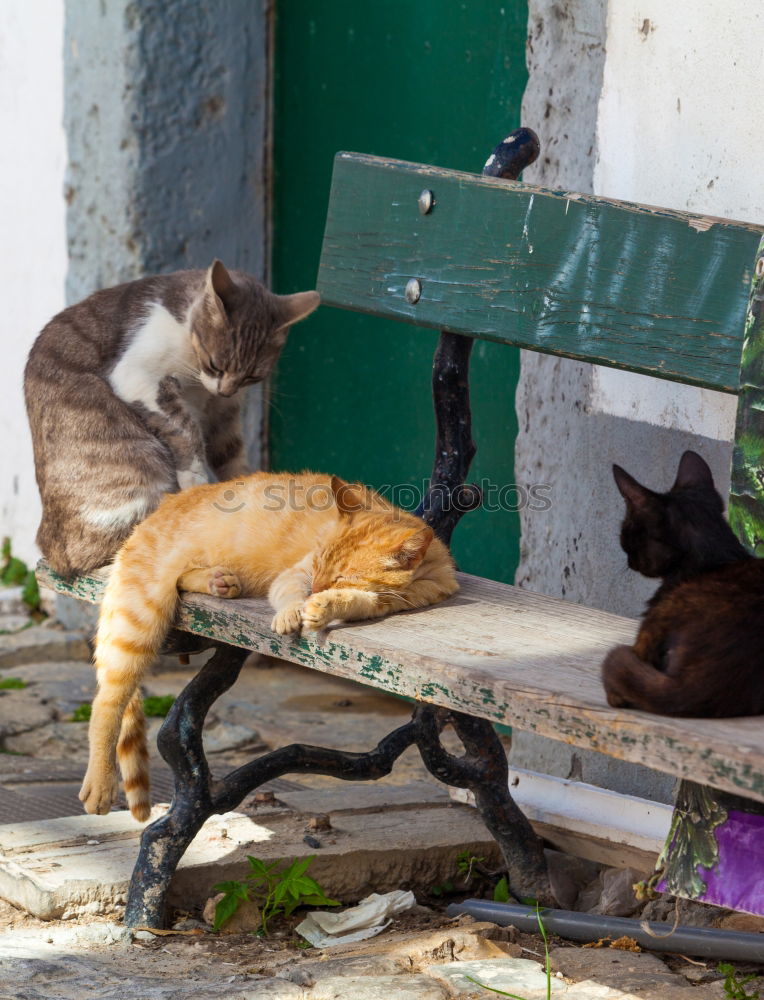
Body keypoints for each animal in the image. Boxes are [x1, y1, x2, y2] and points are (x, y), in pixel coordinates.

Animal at [23, 262, 316, 580]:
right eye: (215, 364)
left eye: (252, 376)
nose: (225, 388)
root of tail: (54, 554)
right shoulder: (139, 378)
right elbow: (185, 431)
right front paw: (196, 479)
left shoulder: (223, 413)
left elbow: (232, 457)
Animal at [80, 474, 456, 820]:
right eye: (319, 563)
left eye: (339, 577)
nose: (316, 587)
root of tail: (159, 509)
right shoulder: (295, 574)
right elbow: (290, 594)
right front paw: (293, 613)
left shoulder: (385, 602)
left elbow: (359, 598)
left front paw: (327, 605)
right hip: (139, 616)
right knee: (106, 702)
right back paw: (99, 785)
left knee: (183, 581)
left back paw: (219, 581)